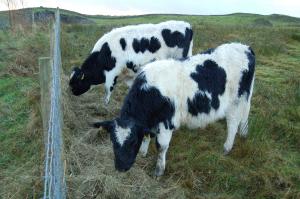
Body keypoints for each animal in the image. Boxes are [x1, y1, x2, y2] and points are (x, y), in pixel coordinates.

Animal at [93, 42, 255, 176]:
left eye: (132, 141)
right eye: (113, 140)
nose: (121, 167)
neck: (151, 91)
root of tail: (245, 47)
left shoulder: (166, 123)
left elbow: (161, 147)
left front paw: (159, 170)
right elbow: (146, 135)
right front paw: (143, 152)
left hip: (236, 100)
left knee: (233, 123)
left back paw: (227, 148)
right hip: (247, 96)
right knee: (246, 114)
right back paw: (244, 133)